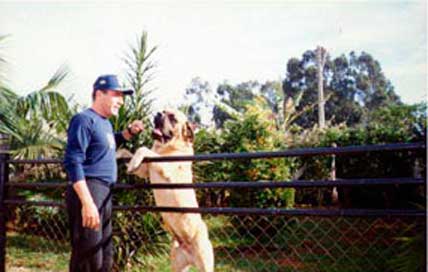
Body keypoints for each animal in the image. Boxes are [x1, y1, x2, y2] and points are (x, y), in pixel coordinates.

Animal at [125, 109, 216, 270]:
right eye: (163, 111)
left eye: (173, 118)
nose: (158, 113)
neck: (165, 148)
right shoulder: (144, 170)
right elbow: (128, 153)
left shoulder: (166, 166)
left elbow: (144, 149)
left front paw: (132, 163)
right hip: (177, 263)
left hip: (205, 261)